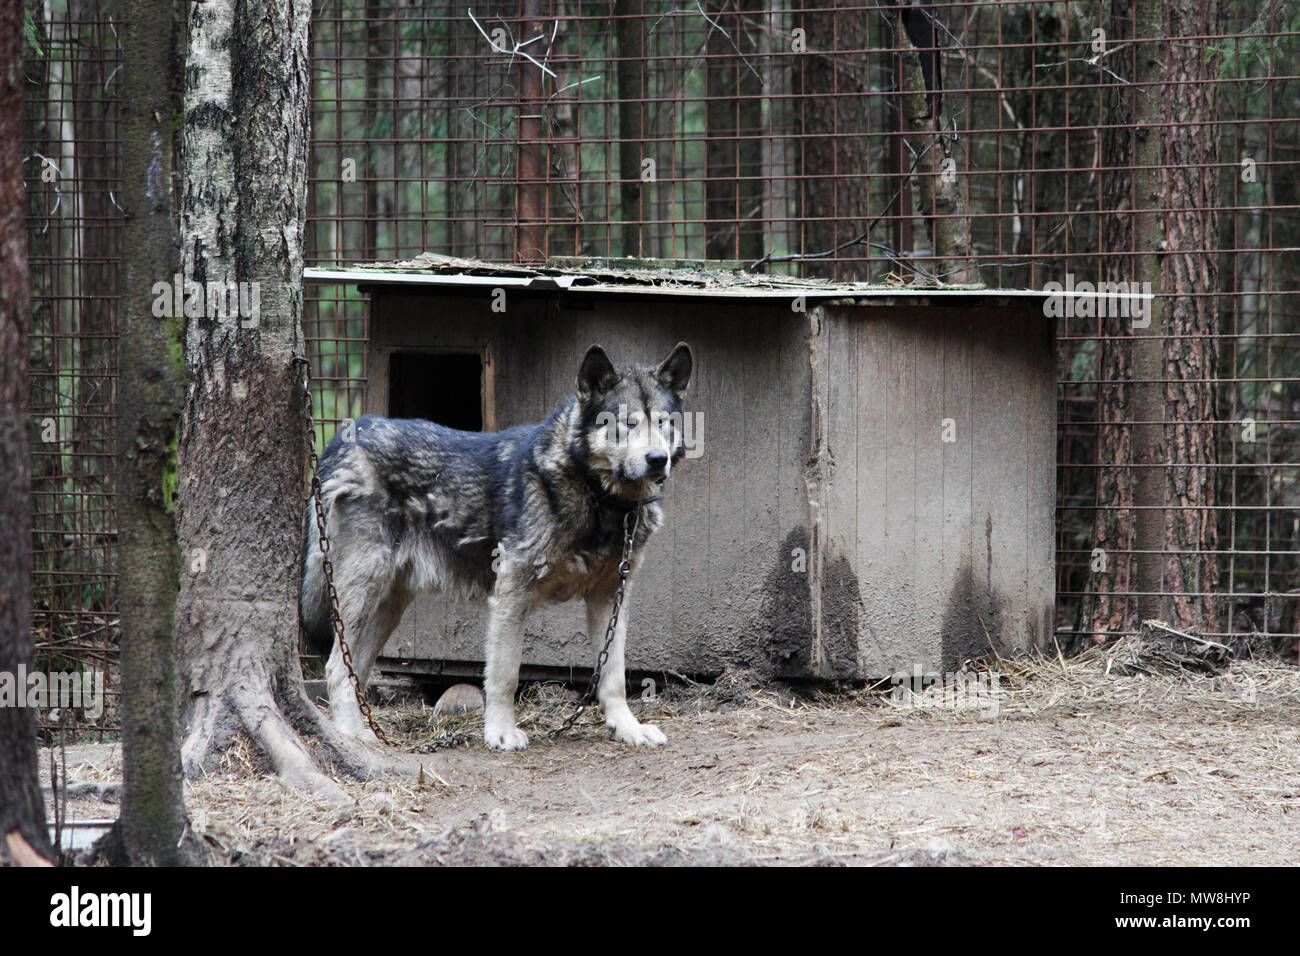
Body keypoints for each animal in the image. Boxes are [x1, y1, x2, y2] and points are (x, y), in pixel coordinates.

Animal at [300, 340, 696, 749]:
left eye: (663, 423)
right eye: (627, 423)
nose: (657, 459)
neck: (599, 497)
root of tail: (345, 437)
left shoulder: (611, 596)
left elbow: (614, 674)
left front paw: (628, 727)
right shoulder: (512, 590)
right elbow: (506, 673)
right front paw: (501, 731)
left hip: (386, 607)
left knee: (355, 668)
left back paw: (364, 734)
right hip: (364, 592)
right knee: (336, 667)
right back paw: (350, 736)